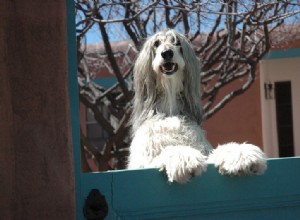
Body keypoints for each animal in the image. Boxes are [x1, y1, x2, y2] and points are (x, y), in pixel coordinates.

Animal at [127, 29, 266, 184]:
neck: (170, 108)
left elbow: (213, 153)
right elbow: (168, 152)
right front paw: (182, 157)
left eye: (177, 42)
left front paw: (241, 154)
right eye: (156, 43)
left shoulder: (203, 149)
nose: (167, 53)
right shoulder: (144, 160)